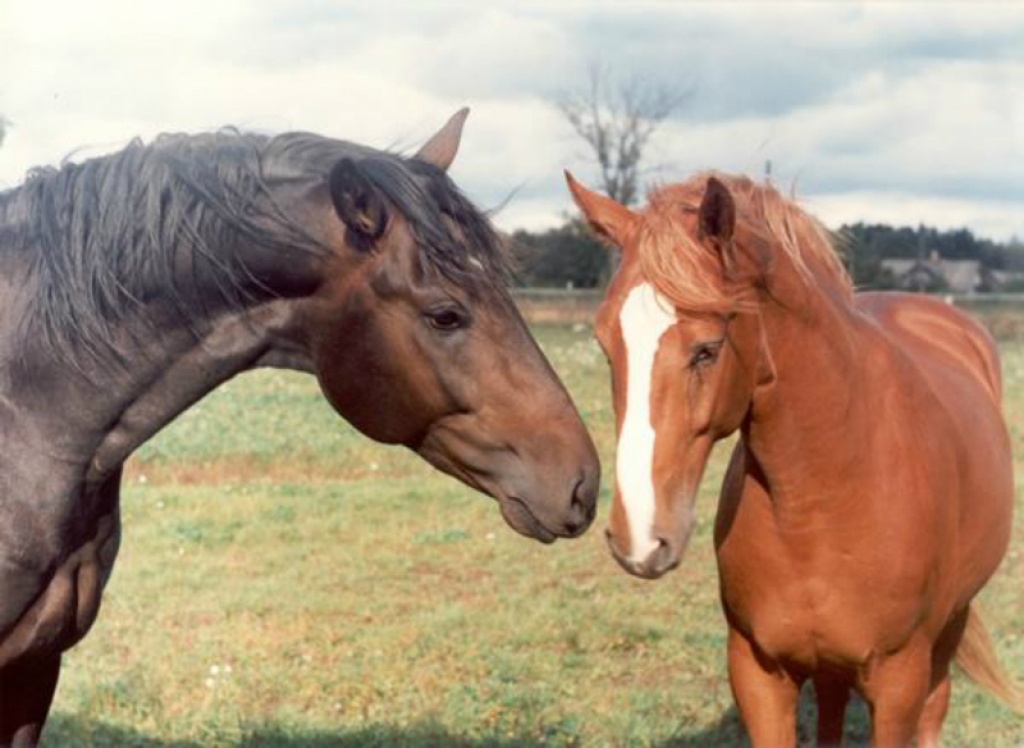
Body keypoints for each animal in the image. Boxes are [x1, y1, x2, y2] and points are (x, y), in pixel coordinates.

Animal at [565, 172, 1019, 741]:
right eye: (608, 347)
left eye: (707, 349)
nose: (639, 539)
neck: (821, 499)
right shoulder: (758, 673)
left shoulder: (899, 682)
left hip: (947, 633)